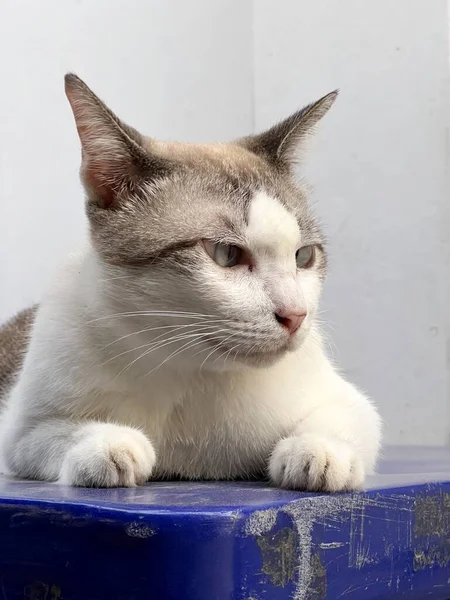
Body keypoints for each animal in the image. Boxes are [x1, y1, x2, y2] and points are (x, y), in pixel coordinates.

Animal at [0, 75, 382, 490]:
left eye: (303, 256)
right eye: (226, 254)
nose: (296, 315)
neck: (192, 371)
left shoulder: (350, 403)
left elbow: (341, 419)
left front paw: (319, 452)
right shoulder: (19, 434)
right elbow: (60, 433)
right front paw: (108, 445)